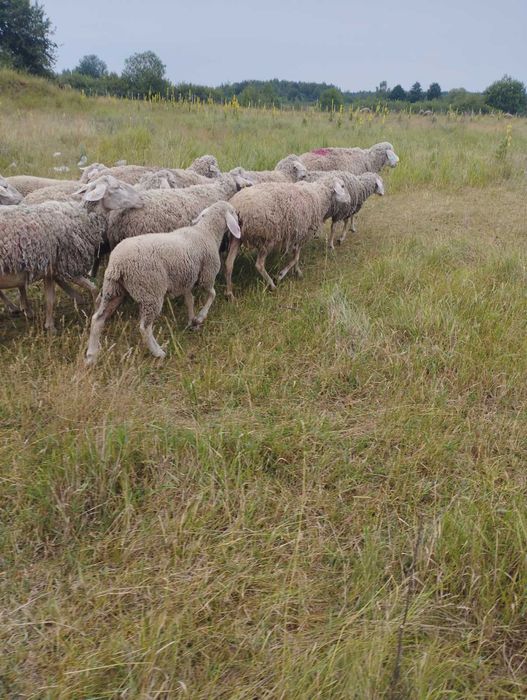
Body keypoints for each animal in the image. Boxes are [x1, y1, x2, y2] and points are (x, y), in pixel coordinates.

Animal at [0, 176, 143, 331]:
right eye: (117, 187)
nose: (141, 200)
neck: (83, 219)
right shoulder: (68, 267)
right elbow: (93, 288)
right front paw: (97, 308)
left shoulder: (50, 270)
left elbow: (50, 298)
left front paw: (50, 326)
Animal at [85, 200, 241, 365]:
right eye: (233, 211)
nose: (240, 220)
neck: (206, 231)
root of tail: (117, 265)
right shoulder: (207, 275)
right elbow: (212, 294)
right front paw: (200, 317)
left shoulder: (186, 279)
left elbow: (190, 301)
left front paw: (192, 322)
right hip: (150, 291)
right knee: (144, 328)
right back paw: (158, 352)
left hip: (113, 289)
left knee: (98, 319)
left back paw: (91, 356)